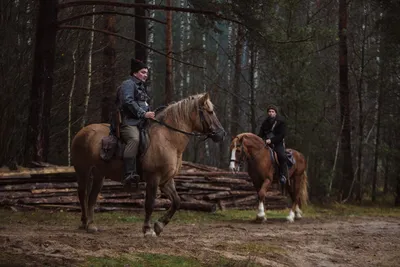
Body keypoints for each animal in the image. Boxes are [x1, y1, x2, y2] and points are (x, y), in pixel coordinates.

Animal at [71, 93, 225, 238]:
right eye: (210, 112)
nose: (221, 134)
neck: (168, 139)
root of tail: (81, 132)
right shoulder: (153, 178)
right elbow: (150, 204)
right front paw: (148, 230)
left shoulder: (166, 180)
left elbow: (177, 201)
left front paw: (159, 225)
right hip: (83, 171)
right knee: (82, 193)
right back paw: (84, 222)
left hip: (99, 174)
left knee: (92, 197)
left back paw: (90, 224)